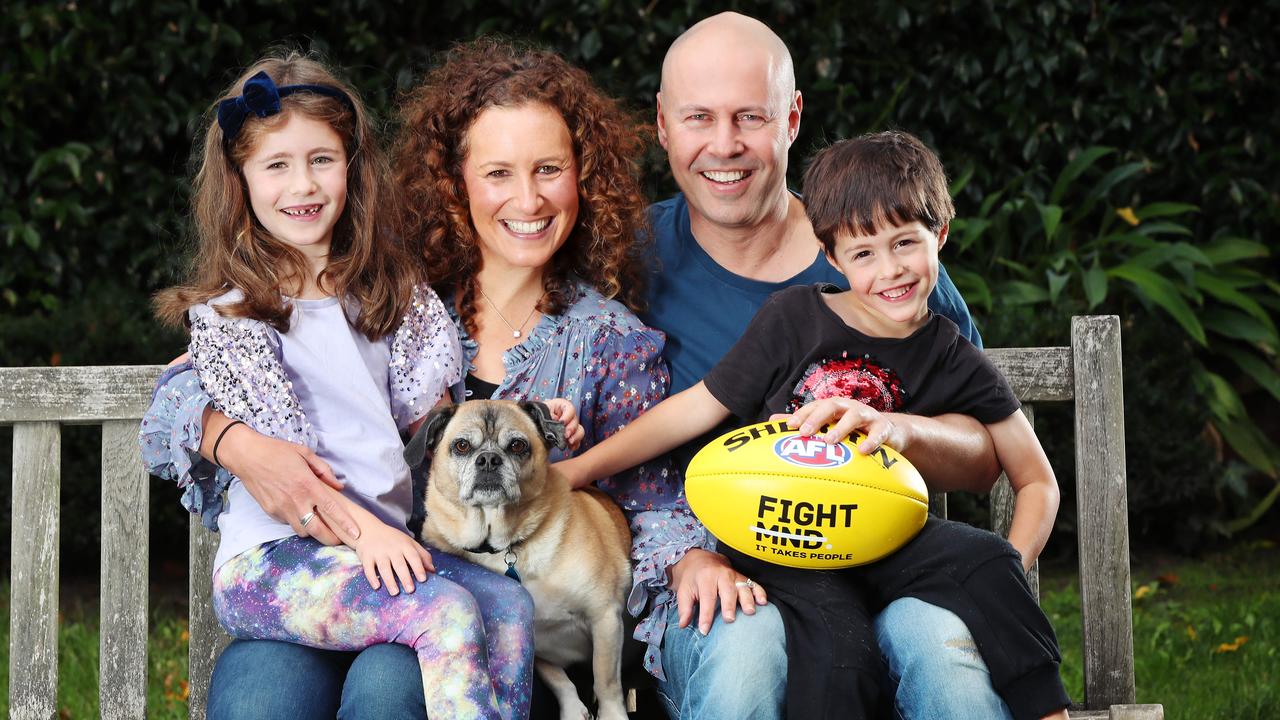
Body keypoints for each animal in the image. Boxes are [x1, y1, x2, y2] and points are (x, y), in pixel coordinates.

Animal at [404, 397, 634, 717]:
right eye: (461, 446)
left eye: (516, 446)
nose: (489, 459)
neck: (503, 544)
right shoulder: (539, 651)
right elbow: (558, 679)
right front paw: (573, 709)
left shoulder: (605, 618)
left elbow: (606, 681)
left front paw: (612, 714)